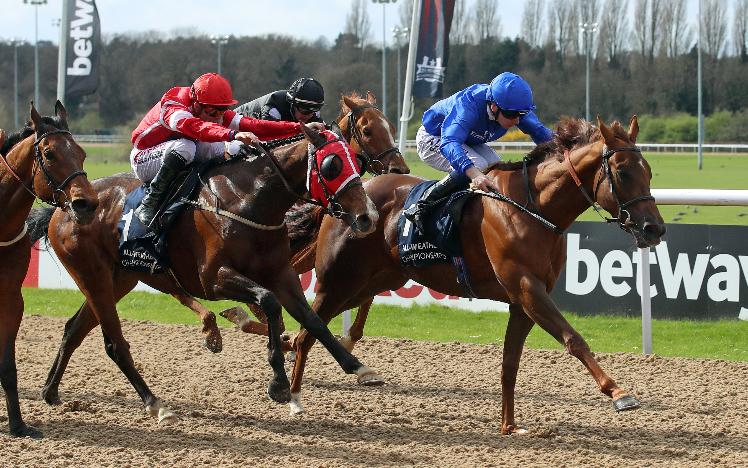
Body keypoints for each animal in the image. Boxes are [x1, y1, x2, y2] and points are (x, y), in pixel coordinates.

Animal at [0, 100, 98, 436]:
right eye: (50, 153)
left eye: (82, 152)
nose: (86, 204)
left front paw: (18, 424)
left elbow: (8, 365)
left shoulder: (11, 299)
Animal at [27, 124, 382, 424]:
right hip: (93, 275)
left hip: (119, 279)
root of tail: (62, 207)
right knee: (113, 343)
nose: (368, 217)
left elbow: (312, 319)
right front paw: (279, 383)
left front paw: (358, 367)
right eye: (333, 165)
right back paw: (156, 404)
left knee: (74, 329)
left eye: (356, 161)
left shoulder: (282, 274)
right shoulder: (213, 279)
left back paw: (51, 391)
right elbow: (268, 302)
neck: (248, 200)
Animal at [286, 115, 668, 430]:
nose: (654, 229)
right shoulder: (528, 289)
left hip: (375, 280)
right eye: (623, 172)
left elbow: (509, 364)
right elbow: (574, 339)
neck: (533, 208)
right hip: (338, 282)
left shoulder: (522, 301)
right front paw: (618, 392)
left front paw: (509, 426)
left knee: (315, 328)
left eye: (649, 171)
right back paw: (294, 399)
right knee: (308, 332)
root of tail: (345, 199)